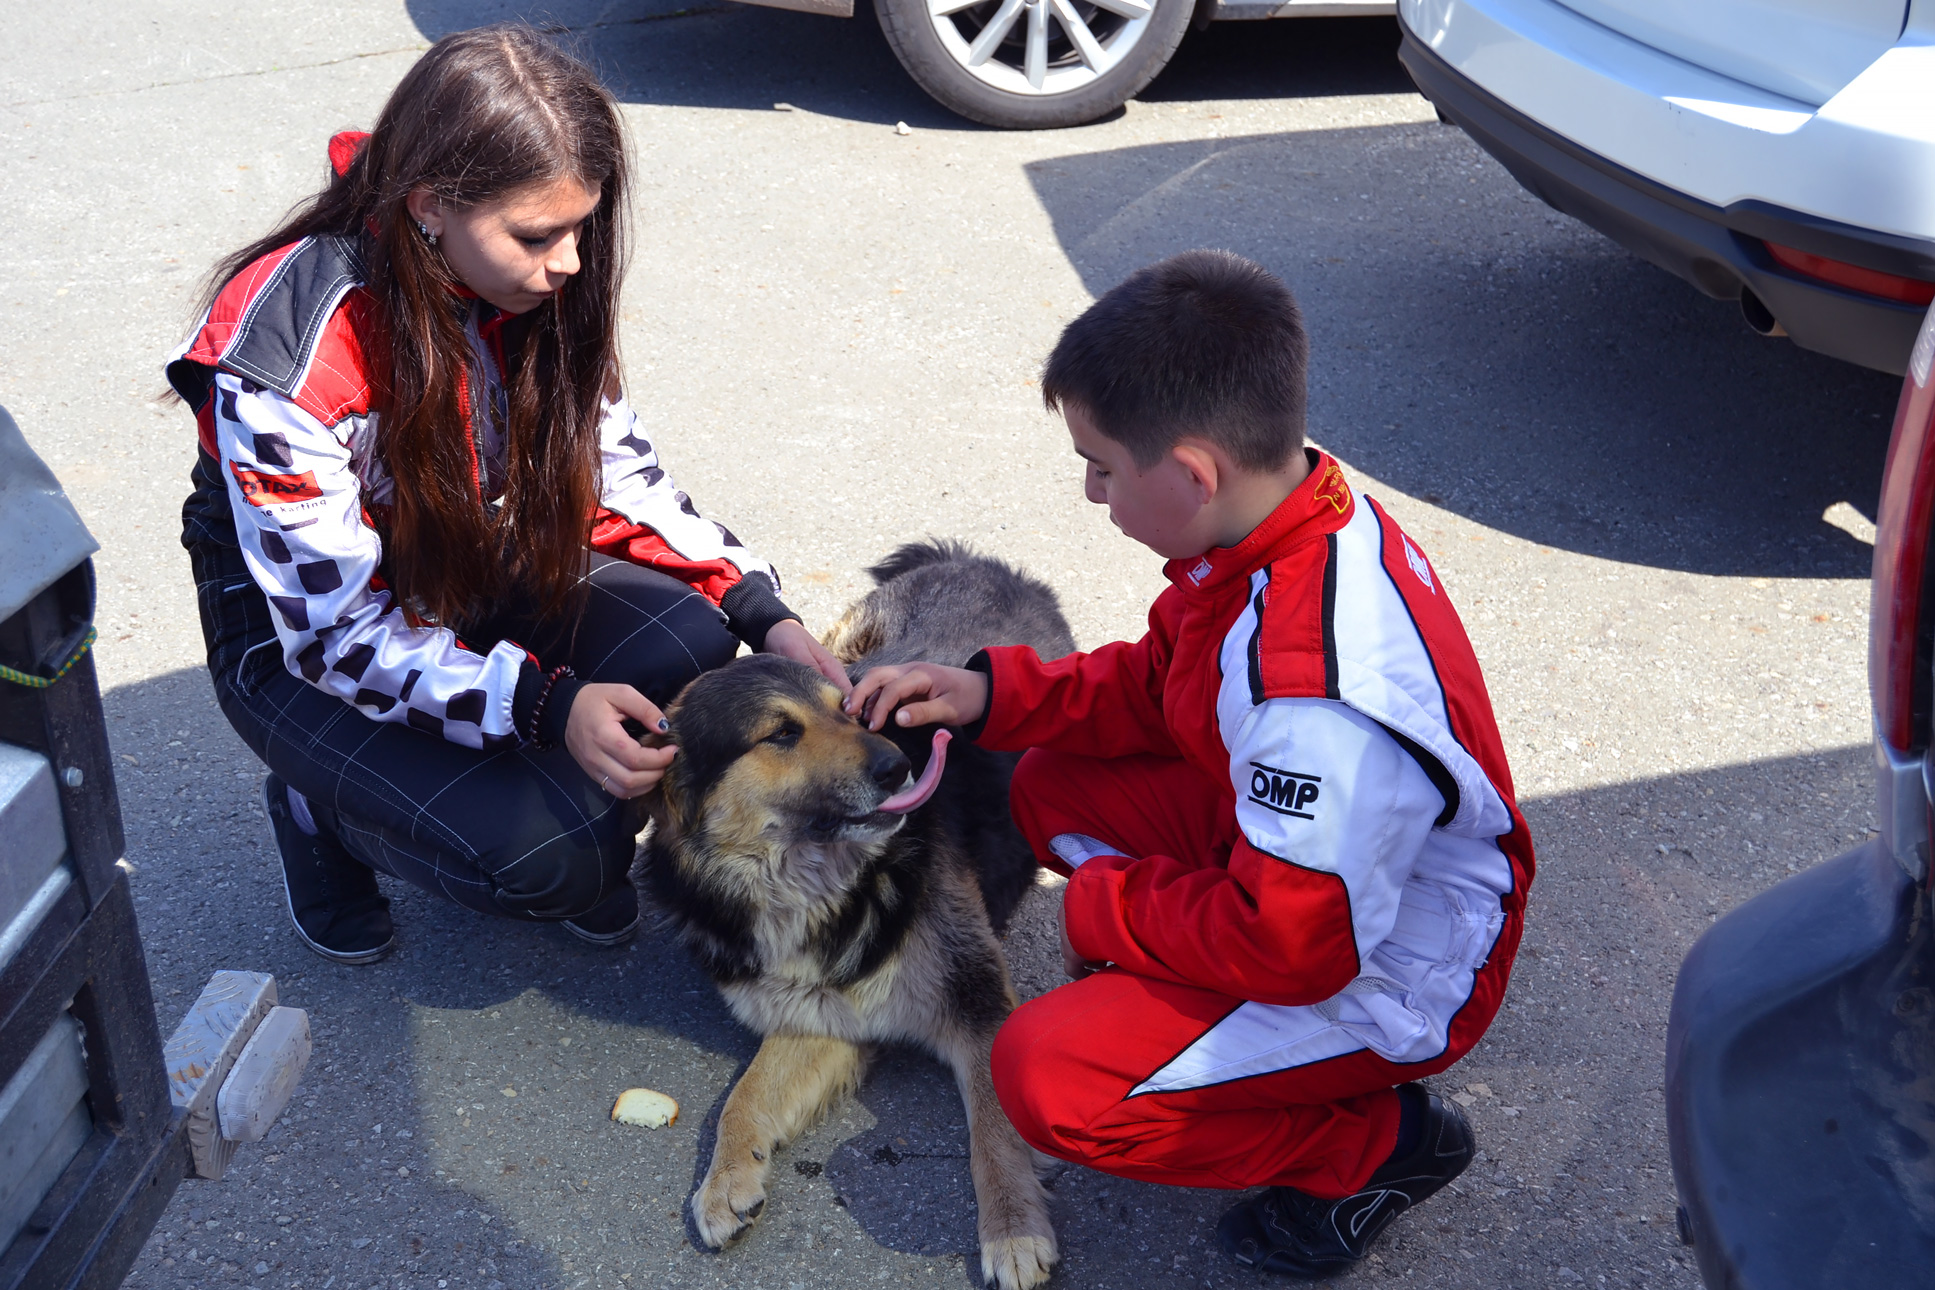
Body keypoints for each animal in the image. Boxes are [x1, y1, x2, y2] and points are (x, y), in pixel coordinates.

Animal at [643, 540, 1076, 1290]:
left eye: (847, 709)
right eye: (780, 733)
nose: (899, 765)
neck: (819, 884)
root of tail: (985, 561)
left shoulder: (978, 1003)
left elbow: (994, 1132)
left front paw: (1013, 1230)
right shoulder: (823, 1012)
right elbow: (745, 1094)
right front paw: (725, 1180)